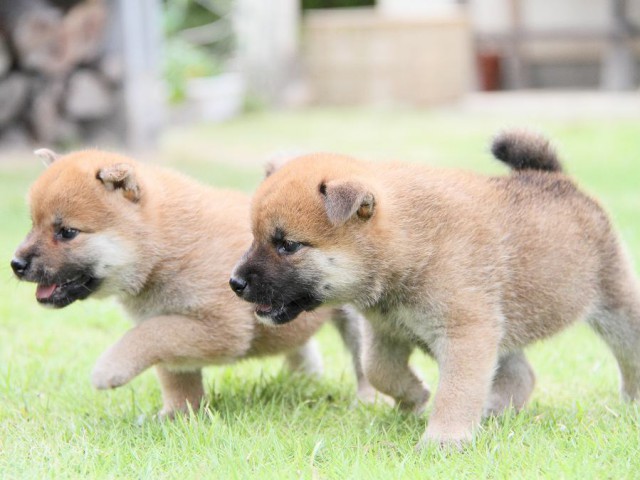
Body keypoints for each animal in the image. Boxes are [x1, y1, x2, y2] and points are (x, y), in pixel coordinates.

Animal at [230, 130, 640, 446]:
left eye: (287, 245)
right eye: (253, 237)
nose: (234, 283)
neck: (409, 245)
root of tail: (556, 178)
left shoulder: (465, 333)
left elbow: (456, 391)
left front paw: (444, 439)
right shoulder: (387, 333)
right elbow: (378, 370)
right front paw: (414, 397)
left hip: (613, 300)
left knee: (628, 352)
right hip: (502, 325)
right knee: (521, 375)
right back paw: (494, 410)